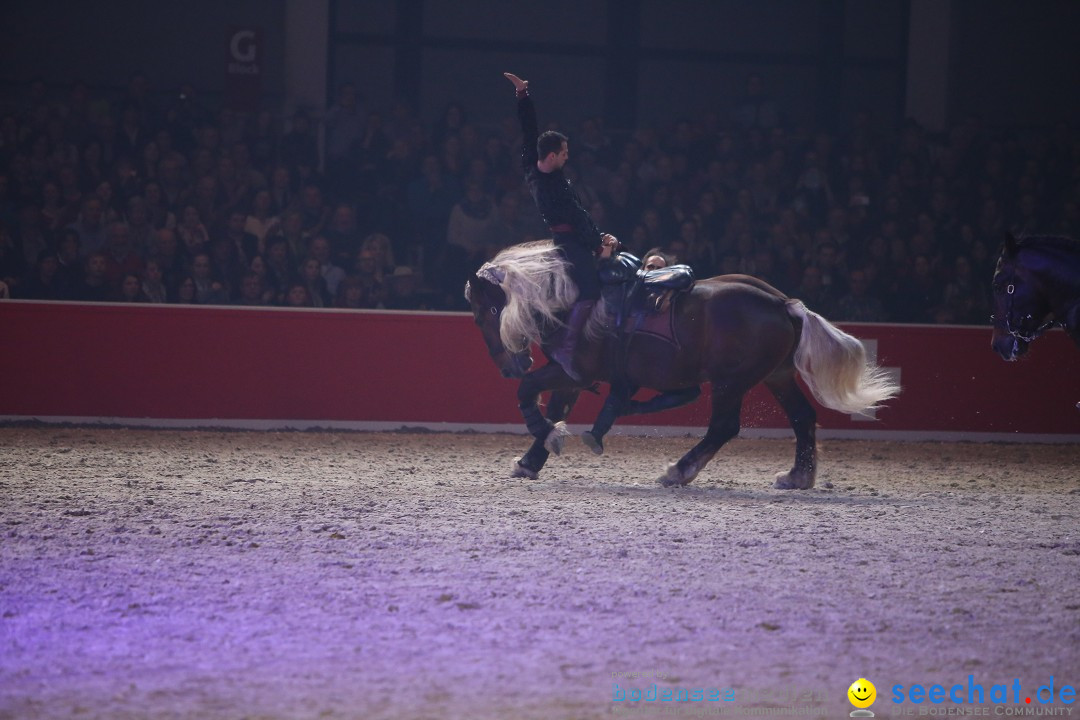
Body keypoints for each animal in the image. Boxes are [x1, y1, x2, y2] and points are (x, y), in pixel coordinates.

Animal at [468, 239, 898, 487]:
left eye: (486, 312)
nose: (509, 366)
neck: (574, 302)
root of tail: (782, 303)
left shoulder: (571, 370)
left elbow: (530, 393)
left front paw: (545, 440)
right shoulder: (570, 375)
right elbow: (556, 407)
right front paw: (532, 459)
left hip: (731, 382)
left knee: (723, 427)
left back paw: (679, 470)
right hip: (777, 376)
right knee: (803, 417)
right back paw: (798, 476)